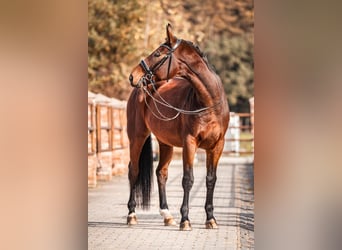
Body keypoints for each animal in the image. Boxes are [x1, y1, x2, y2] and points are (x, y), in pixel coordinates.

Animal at [126, 23, 230, 230]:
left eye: (158, 53)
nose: (133, 76)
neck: (208, 103)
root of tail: (141, 89)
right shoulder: (189, 143)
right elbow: (188, 180)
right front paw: (185, 220)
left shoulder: (217, 146)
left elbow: (211, 180)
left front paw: (210, 219)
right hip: (137, 138)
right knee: (133, 171)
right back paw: (132, 215)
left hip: (165, 143)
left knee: (161, 173)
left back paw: (167, 215)